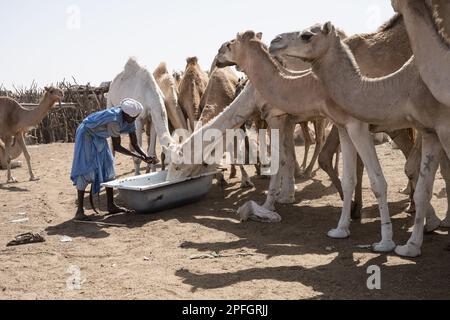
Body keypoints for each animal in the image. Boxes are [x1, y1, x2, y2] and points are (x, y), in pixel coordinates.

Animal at [280, 21, 450, 258]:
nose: (274, 42)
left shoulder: (359, 124)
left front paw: (385, 239)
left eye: (306, 36)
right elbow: (350, 175)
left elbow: (378, 178)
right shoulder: (428, 130)